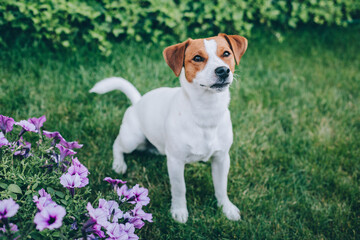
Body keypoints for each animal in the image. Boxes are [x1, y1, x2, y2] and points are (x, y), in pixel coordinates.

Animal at [90, 34, 248, 223]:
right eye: (197, 58)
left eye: (226, 53)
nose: (223, 70)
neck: (206, 111)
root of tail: (138, 102)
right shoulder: (175, 162)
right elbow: (180, 189)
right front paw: (179, 211)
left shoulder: (222, 159)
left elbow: (221, 187)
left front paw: (226, 208)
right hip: (132, 139)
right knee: (117, 144)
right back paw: (119, 163)